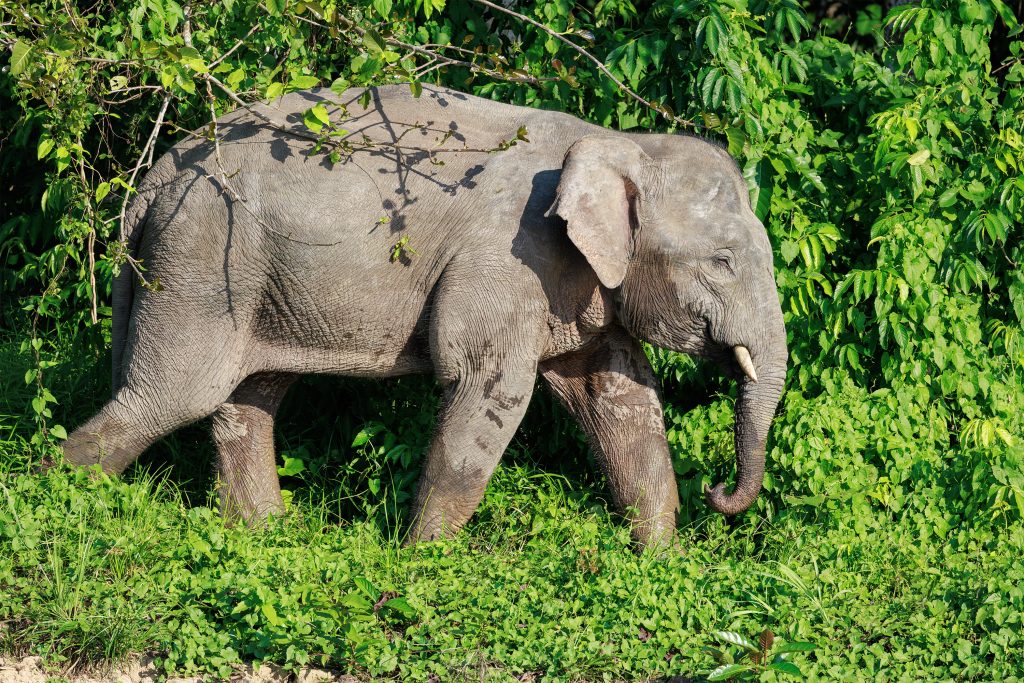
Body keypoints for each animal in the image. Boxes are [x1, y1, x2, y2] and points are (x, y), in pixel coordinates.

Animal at [63, 84, 787, 547]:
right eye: (723, 261)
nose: (718, 492)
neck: (617, 141)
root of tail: (154, 176)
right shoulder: (508, 259)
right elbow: (487, 388)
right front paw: (421, 564)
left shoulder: (576, 286)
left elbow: (619, 398)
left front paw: (659, 561)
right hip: (200, 255)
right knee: (170, 396)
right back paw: (57, 503)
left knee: (247, 398)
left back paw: (266, 537)